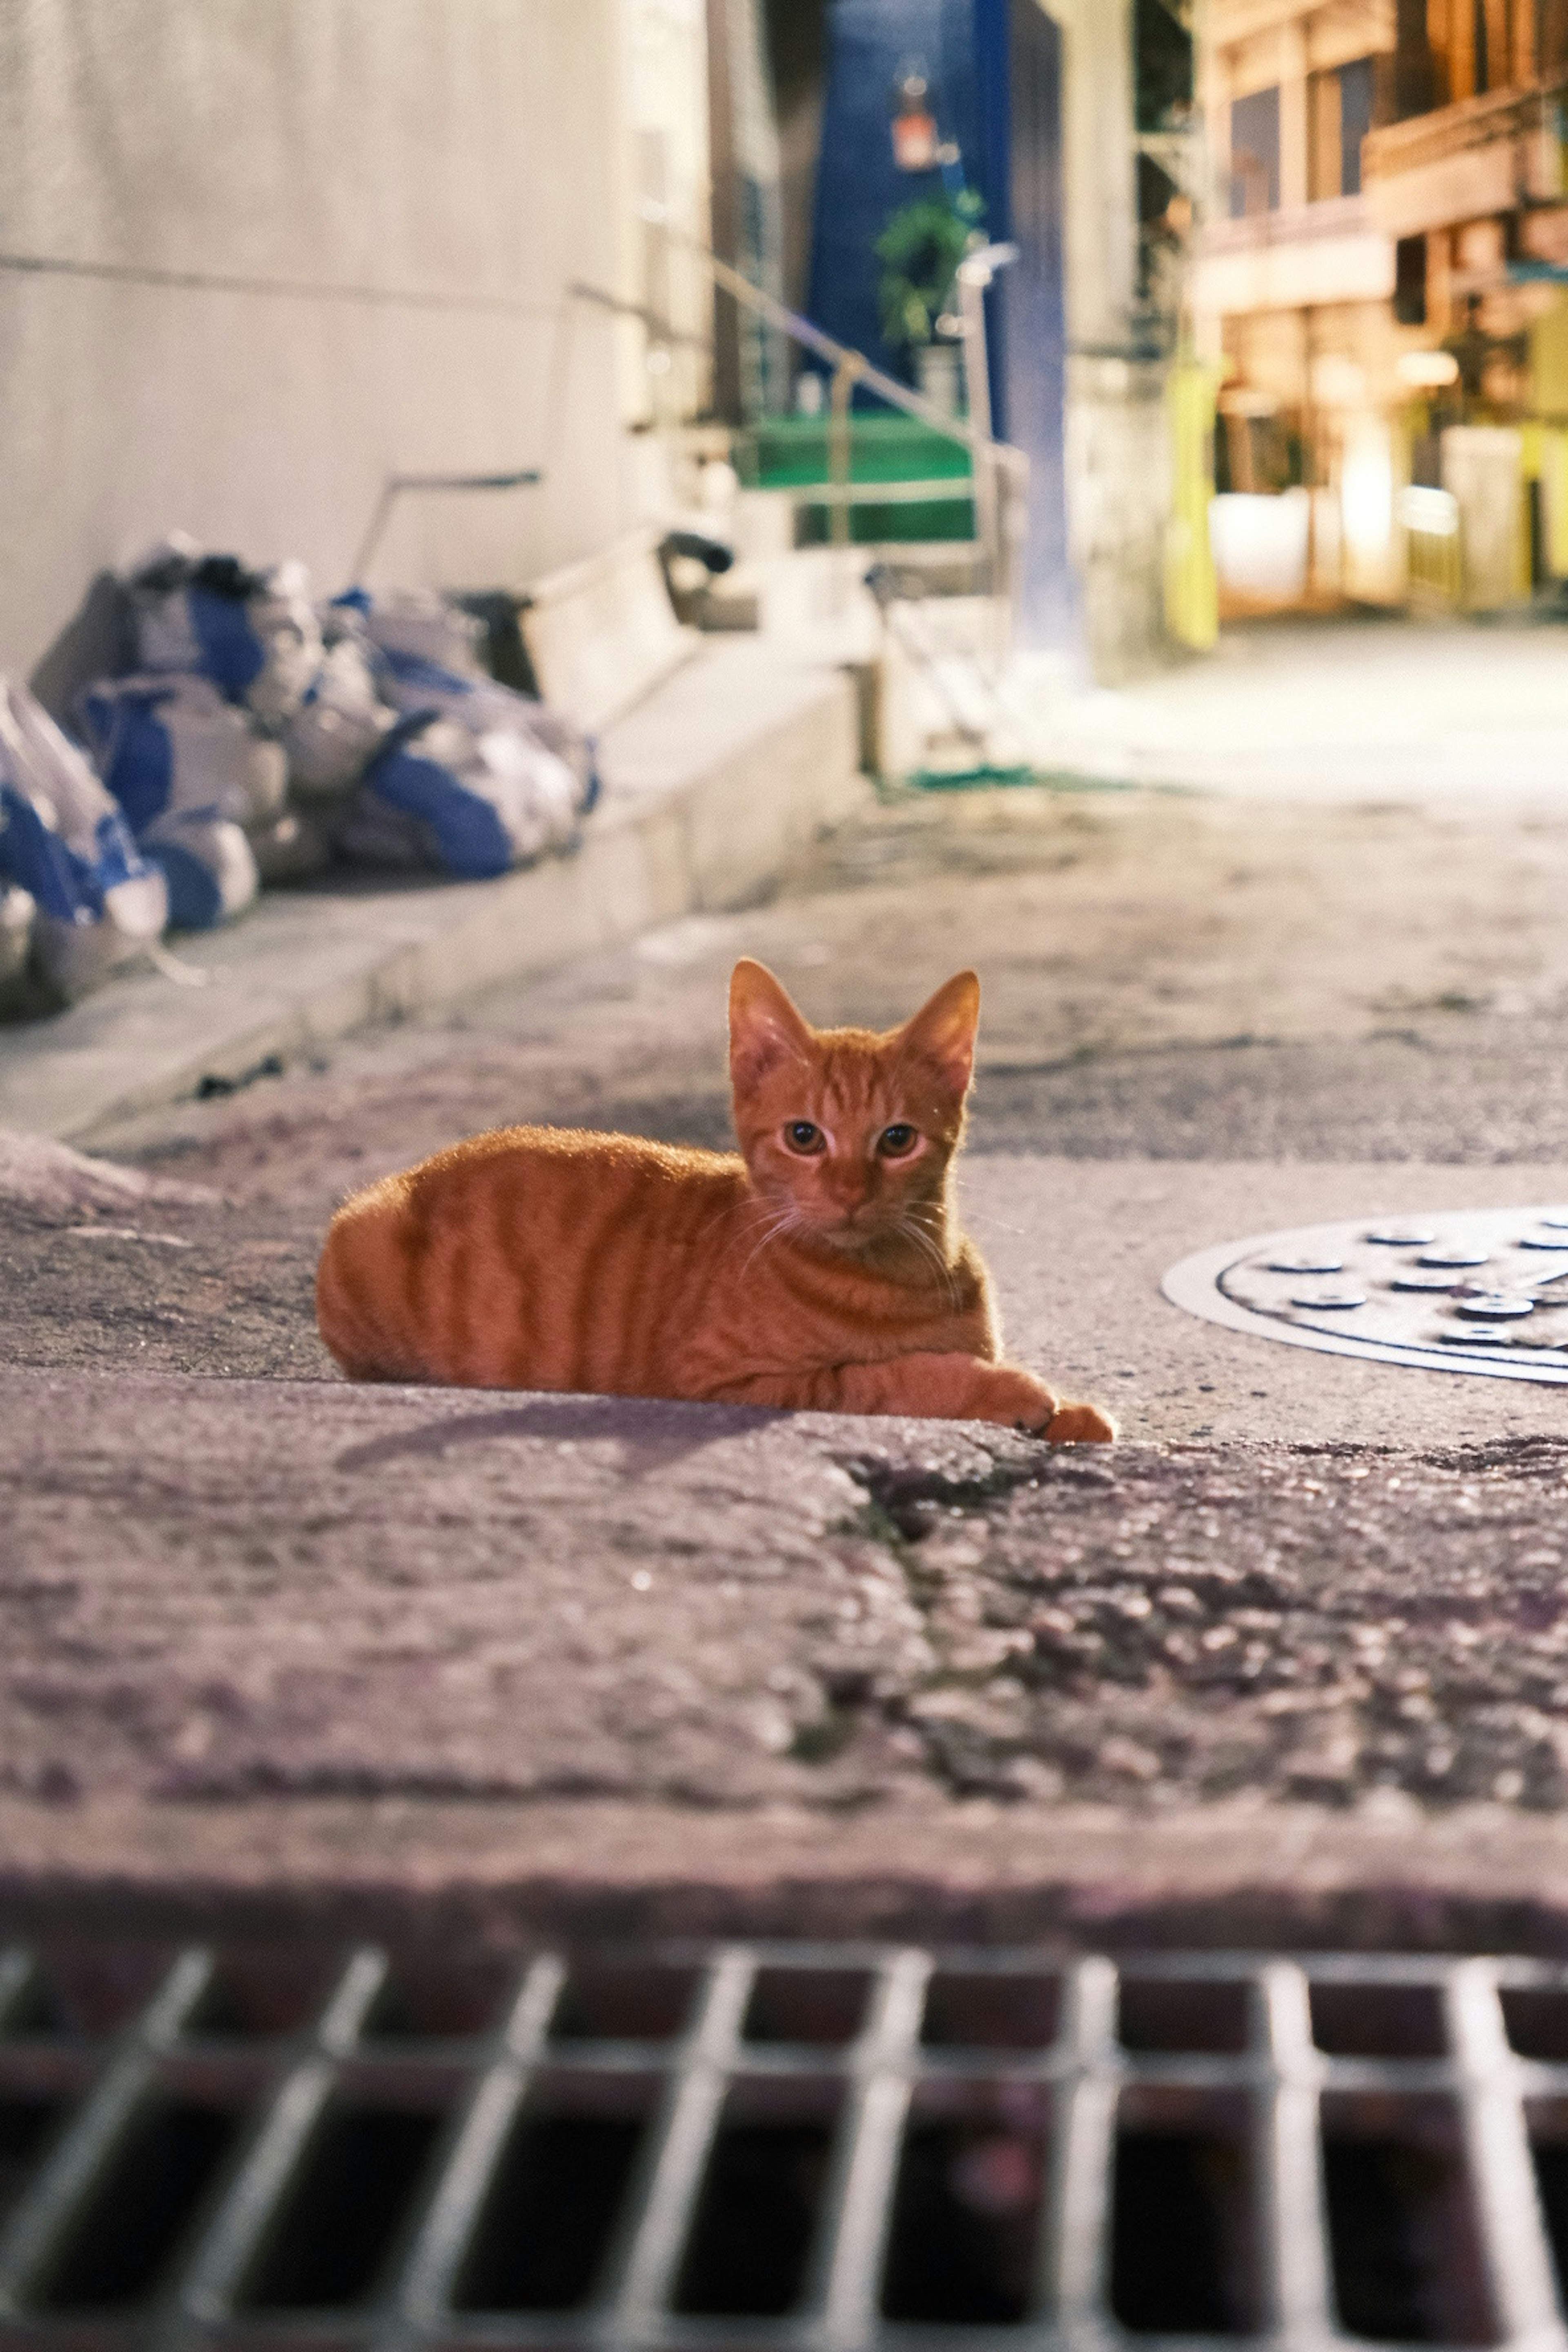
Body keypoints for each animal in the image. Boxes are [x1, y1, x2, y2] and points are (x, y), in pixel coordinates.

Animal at [315, 950, 1114, 1430]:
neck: (901, 1275)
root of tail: (416, 1171)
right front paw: (1006, 1391)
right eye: (804, 1137)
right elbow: (888, 1377)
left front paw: (1074, 1413)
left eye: (897, 1140)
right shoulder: (733, 1383)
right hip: (362, 1234)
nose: (850, 1192)